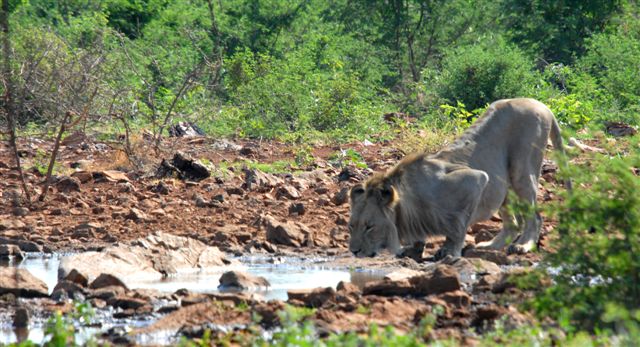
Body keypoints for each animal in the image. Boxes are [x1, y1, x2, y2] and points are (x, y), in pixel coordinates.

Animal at [350, 98, 568, 260]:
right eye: (352, 225)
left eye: (369, 227)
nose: (354, 251)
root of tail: (542, 105)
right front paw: (413, 249)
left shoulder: (474, 180)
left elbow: (457, 226)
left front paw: (449, 251)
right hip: (502, 184)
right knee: (513, 223)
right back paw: (490, 246)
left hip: (522, 168)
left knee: (535, 217)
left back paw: (523, 245)